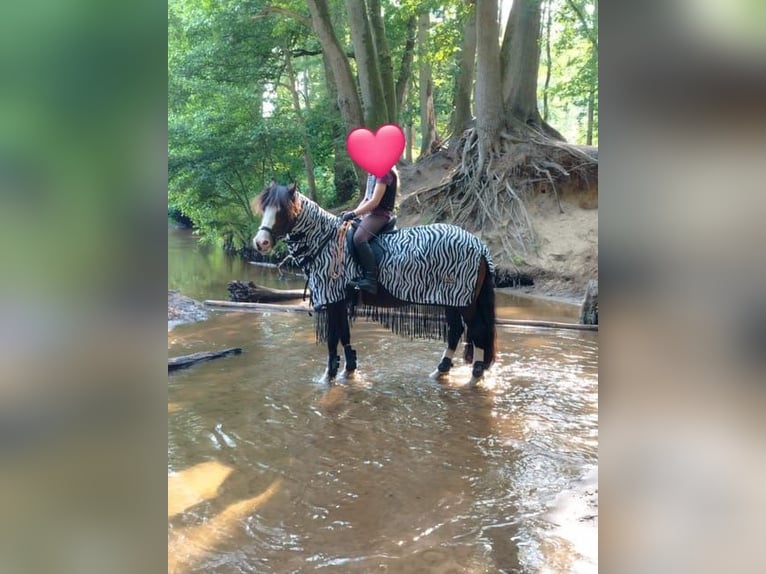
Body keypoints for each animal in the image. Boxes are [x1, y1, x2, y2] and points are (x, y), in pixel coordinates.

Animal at [255, 181, 500, 388]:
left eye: (282, 210)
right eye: (264, 209)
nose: (260, 243)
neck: (326, 244)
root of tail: (478, 244)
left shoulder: (333, 299)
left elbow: (333, 338)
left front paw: (329, 376)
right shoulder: (340, 301)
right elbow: (344, 335)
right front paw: (349, 371)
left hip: (465, 302)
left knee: (477, 330)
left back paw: (475, 376)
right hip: (451, 300)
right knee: (456, 331)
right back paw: (440, 371)